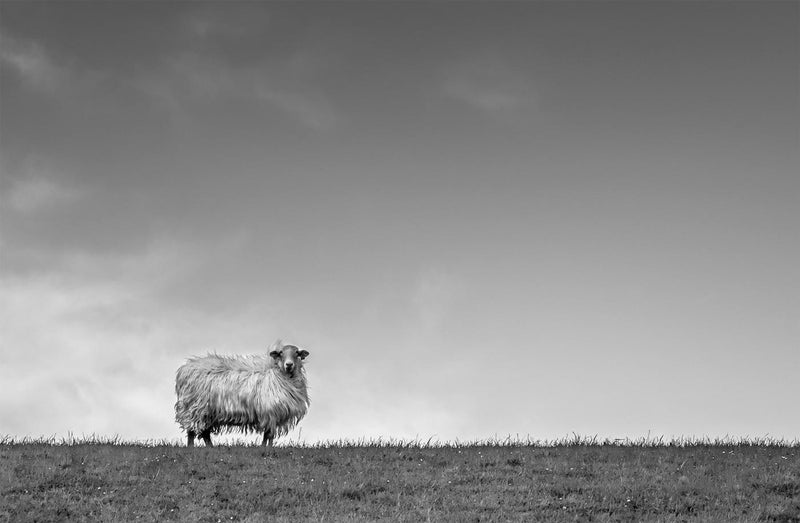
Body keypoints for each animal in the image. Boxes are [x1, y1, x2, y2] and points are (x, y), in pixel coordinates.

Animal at [174, 342, 310, 448]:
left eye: (297, 353)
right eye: (281, 353)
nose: (289, 365)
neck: (279, 375)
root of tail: (184, 369)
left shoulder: (270, 414)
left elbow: (267, 435)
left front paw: (263, 447)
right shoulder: (270, 412)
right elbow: (270, 434)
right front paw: (268, 448)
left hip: (207, 412)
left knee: (205, 433)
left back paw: (210, 447)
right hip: (194, 408)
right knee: (192, 430)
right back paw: (191, 447)